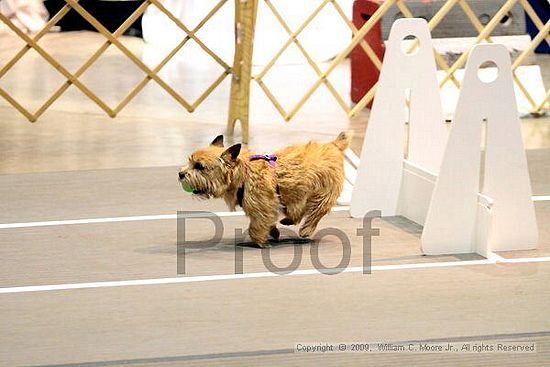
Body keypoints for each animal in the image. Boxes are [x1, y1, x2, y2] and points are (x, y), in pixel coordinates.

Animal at [179, 131, 356, 249]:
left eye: (199, 166)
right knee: (299, 211)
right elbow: (267, 222)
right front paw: (274, 232)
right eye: (190, 162)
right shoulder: (266, 208)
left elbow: (255, 227)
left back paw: (306, 230)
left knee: (315, 213)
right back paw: (289, 220)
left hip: (322, 195)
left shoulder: (262, 208)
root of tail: (333, 145)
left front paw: (260, 241)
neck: (244, 172)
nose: (180, 174)